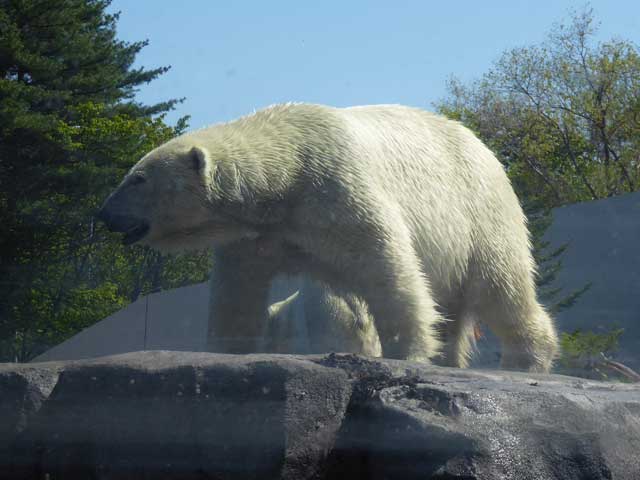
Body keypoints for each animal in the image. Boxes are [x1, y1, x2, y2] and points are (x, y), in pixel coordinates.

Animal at [96, 102, 560, 372]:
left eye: (137, 178)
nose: (104, 215)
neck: (285, 168)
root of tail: (485, 150)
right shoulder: (258, 235)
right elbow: (238, 291)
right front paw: (225, 350)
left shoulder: (335, 188)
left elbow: (387, 266)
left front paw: (406, 352)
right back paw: (449, 358)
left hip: (478, 212)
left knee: (500, 284)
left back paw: (527, 358)